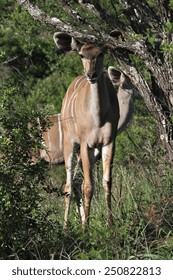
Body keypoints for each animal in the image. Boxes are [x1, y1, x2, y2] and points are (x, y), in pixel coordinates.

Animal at [53, 32, 119, 228]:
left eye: (101, 53)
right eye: (81, 55)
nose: (91, 74)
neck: (98, 118)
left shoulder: (108, 143)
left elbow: (107, 182)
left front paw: (110, 225)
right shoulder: (85, 144)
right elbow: (89, 186)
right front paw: (87, 229)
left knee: (77, 182)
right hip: (70, 144)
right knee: (69, 184)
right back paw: (66, 226)